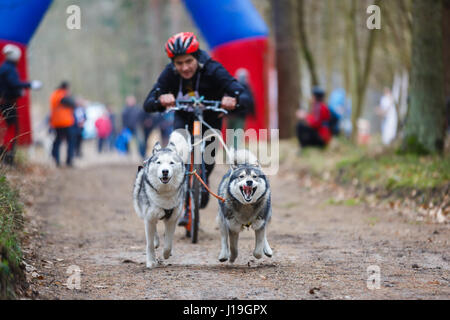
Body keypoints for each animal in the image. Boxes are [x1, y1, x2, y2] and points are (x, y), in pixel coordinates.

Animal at [134, 131, 190, 268]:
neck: (164, 194)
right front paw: (150, 262)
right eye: (159, 162)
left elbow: (168, 243)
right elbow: (149, 244)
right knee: (153, 231)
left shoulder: (172, 219)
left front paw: (166, 254)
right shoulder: (149, 217)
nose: (165, 171)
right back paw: (155, 242)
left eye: (171, 163)